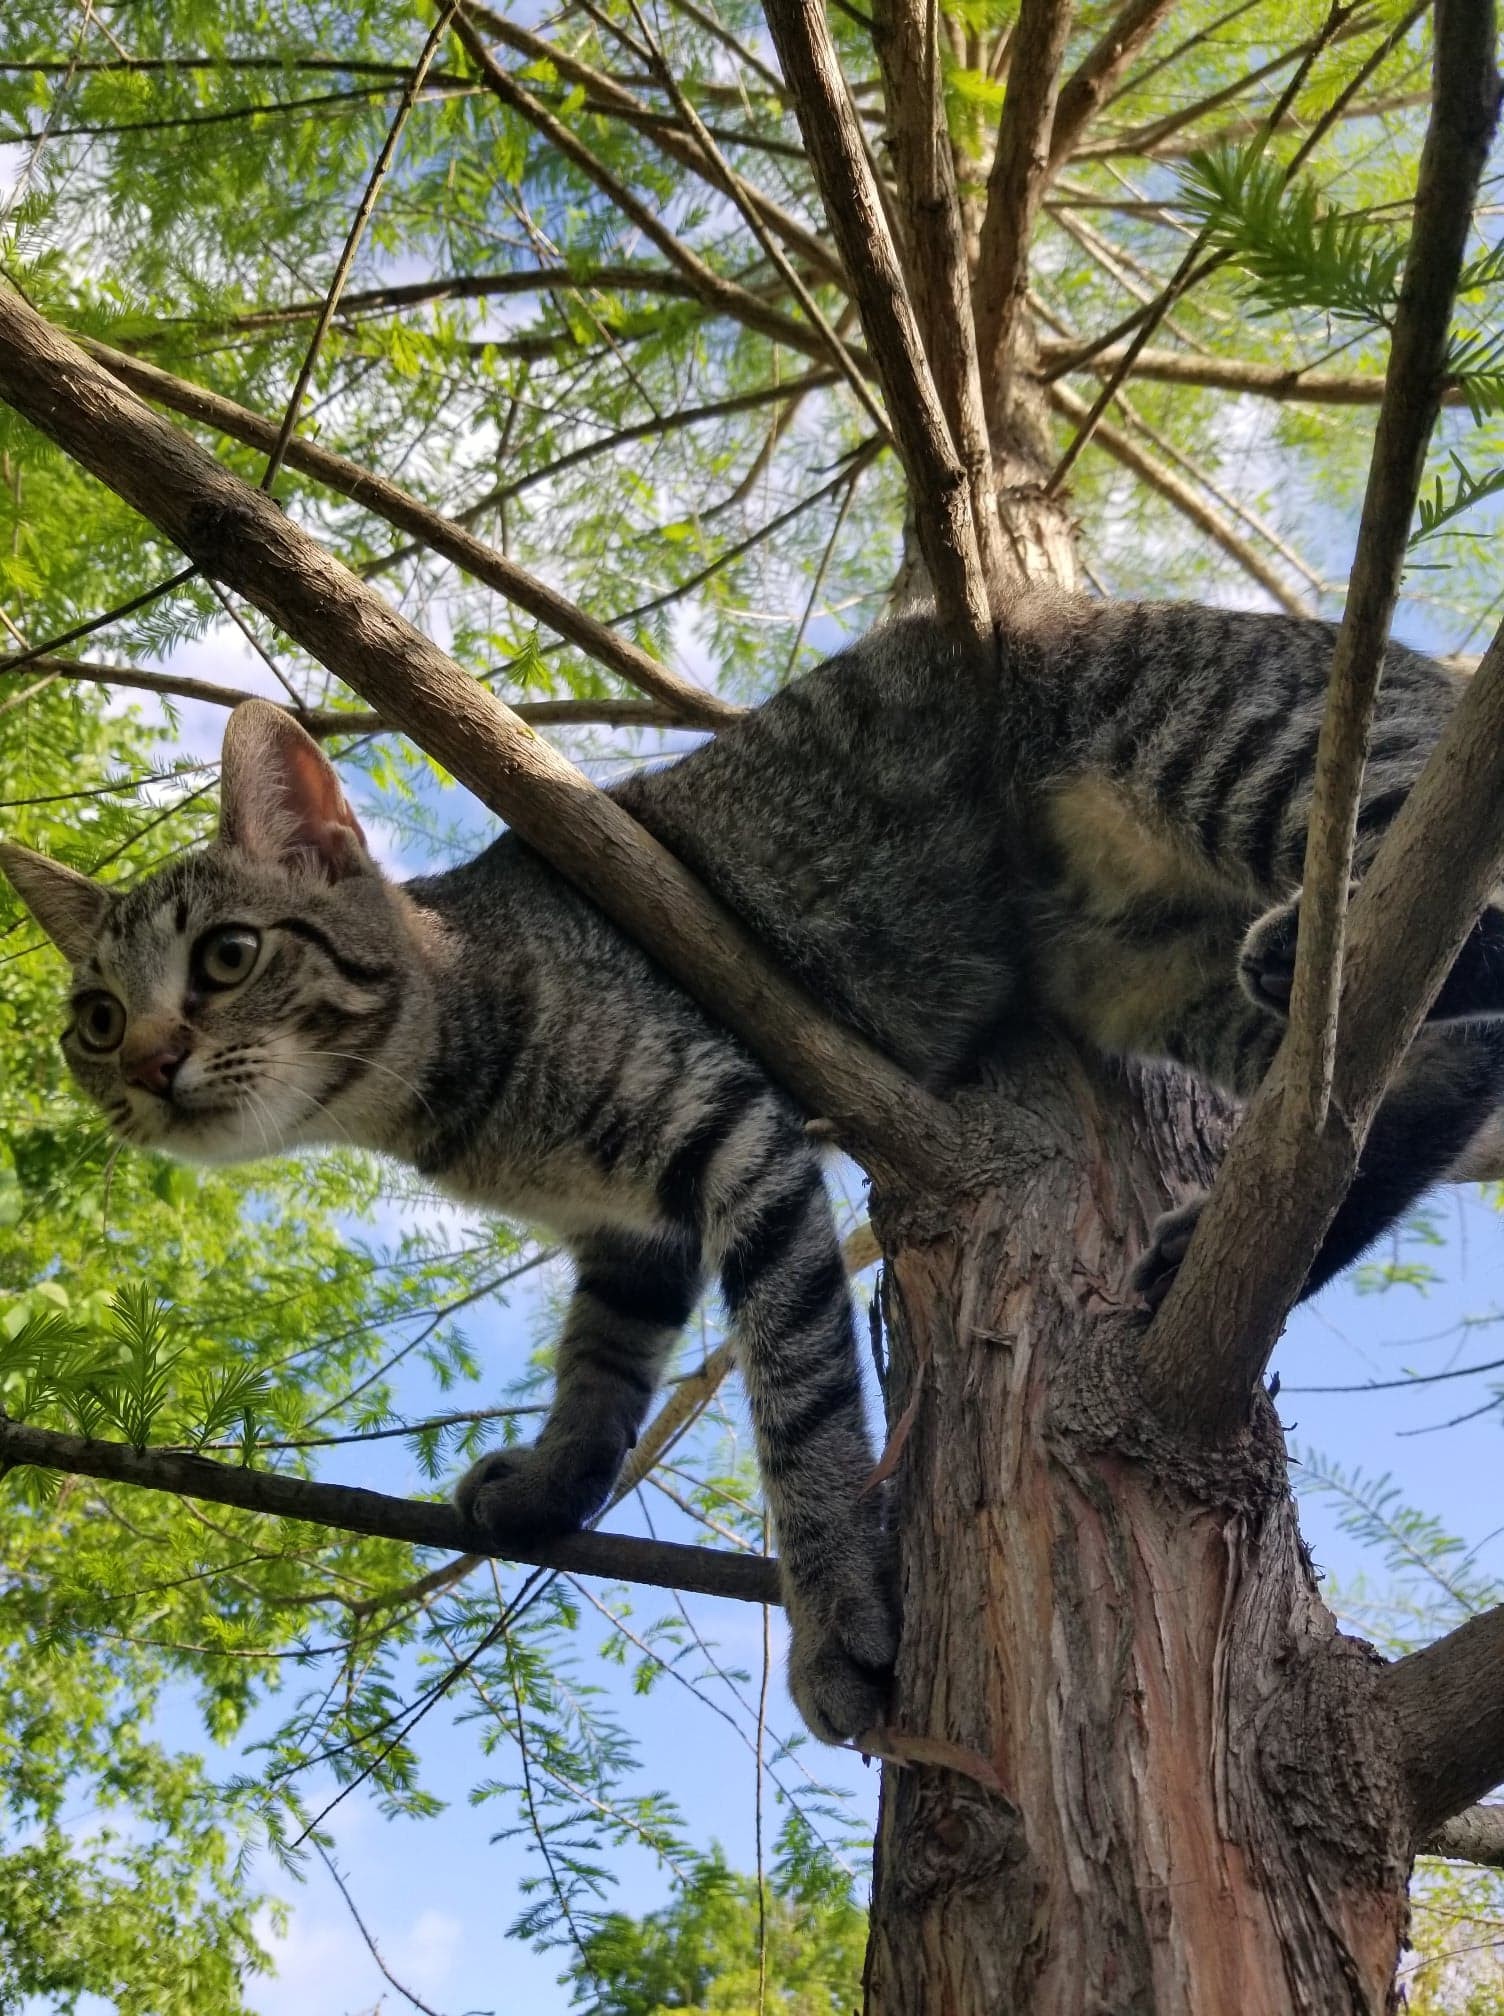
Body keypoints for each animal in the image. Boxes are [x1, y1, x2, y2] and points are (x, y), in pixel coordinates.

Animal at [5, 588, 1491, 1741]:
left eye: (227, 957)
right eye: (91, 1022)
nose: (148, 1066)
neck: (446, 1088)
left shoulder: (738, 1140)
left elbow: (799, 1401)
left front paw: (837, 1613)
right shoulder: (631, 1232)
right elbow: (603, 1361)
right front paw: (555, 1481)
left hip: (1233, 754)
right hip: (1155, 981)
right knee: (1436, 1065)